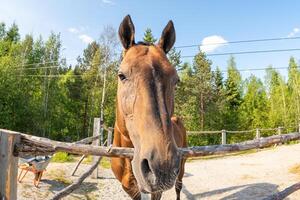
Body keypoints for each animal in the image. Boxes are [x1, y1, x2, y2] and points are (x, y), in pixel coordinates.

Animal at [112, 15, 186, 200]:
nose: (163, 166)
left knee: (178, 186)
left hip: (182, 166)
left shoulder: (156, 191)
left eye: (176, 80)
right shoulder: (129, 189)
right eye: (121, 75)